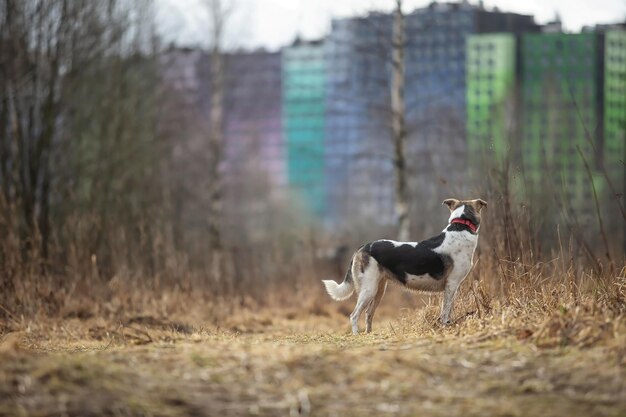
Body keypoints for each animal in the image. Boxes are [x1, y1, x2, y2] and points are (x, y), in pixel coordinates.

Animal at [322, 198, 488, 334]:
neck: (461, 226)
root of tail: (362, 247)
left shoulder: (452, 287)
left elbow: (449, 310)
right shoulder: (451, 284)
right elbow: (445, 311)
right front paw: (445, 328)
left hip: (379, 290)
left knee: (368, 314)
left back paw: (369, 334)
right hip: (368, 290)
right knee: (354, 315)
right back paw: (357, 335)